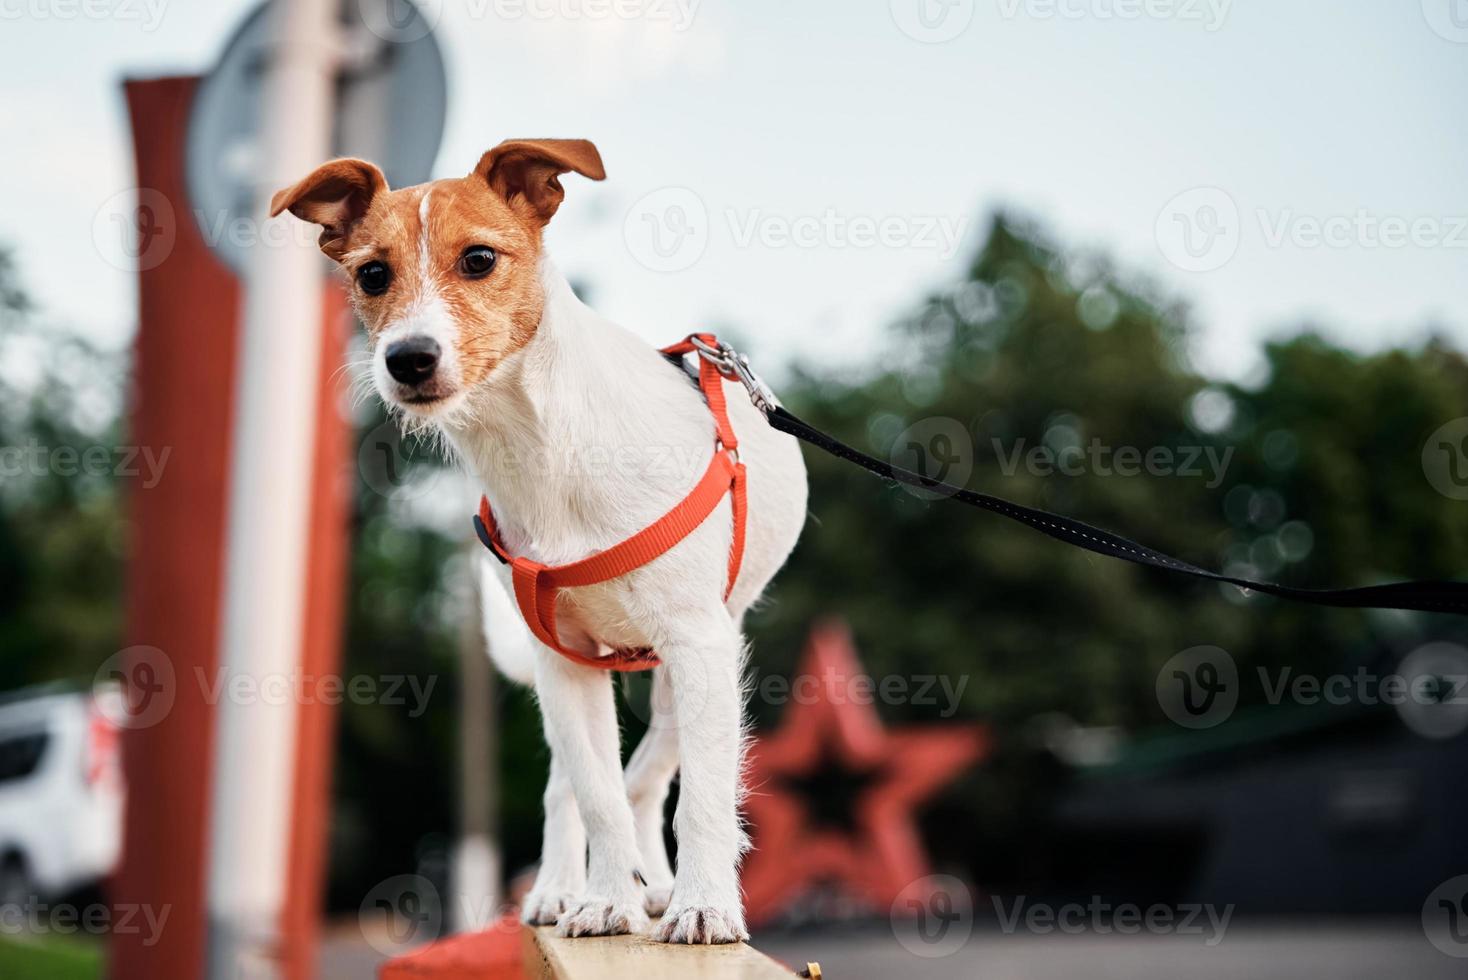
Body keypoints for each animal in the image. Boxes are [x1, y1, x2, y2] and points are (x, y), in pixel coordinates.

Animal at [270, 137, 810, 938]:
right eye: (372, 274)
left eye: (478, 259)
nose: (408, 359)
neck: (540, 446)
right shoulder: (565, 661)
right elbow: (596, 796)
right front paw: (609, 898)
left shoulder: (701, 644)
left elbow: (696, 796)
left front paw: (702, 904)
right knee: (575, 787)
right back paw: (567, 888)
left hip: (701, 656)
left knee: (656, 771)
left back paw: (661, 883)